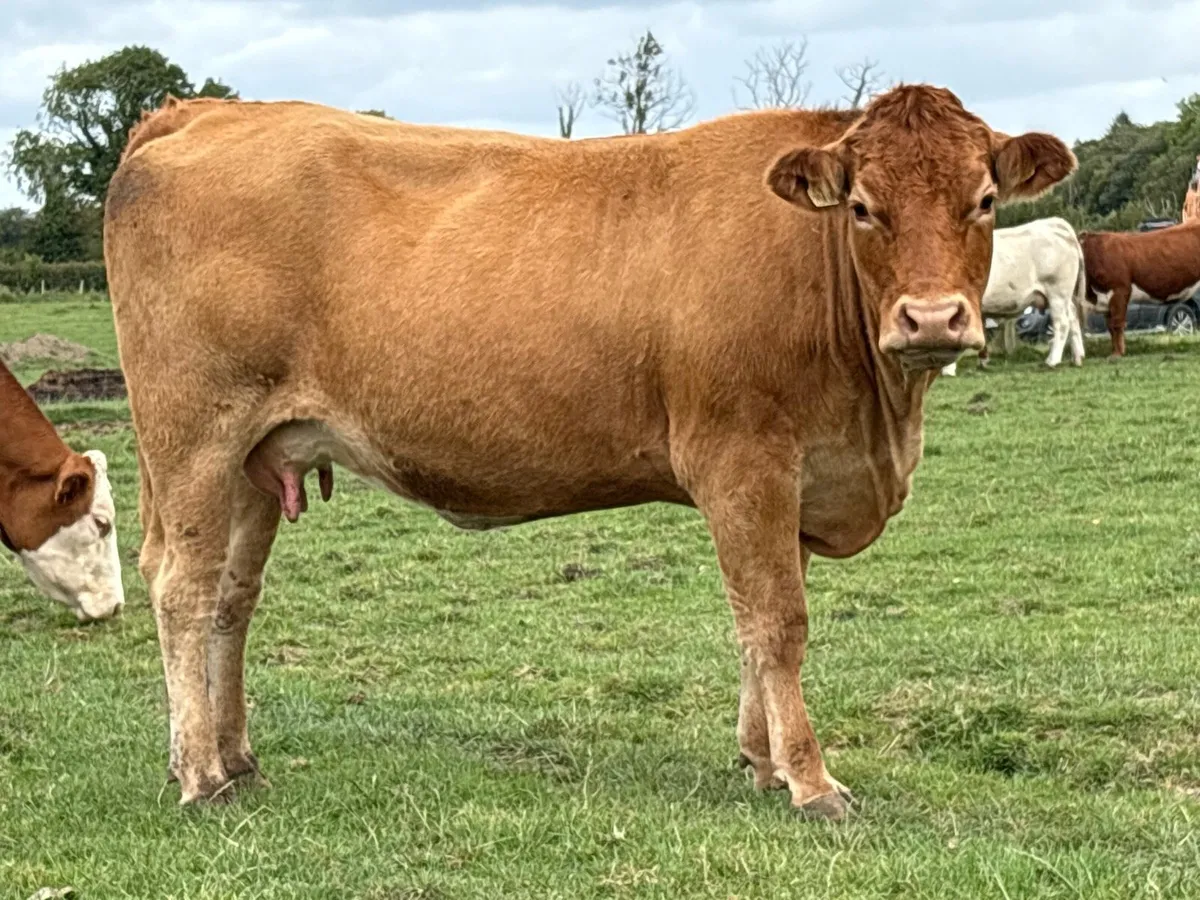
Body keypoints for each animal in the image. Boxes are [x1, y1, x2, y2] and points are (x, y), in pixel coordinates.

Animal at [941, 216, 1086, 375]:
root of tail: (1054, 222)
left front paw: (947, 370)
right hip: (1064, 297)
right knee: (1073, 317)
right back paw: (1077, 358)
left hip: (1057, 292)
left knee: (1062, 323)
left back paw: (1052, 361)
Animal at [1080, 220, 1200, 357]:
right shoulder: (1105, 300)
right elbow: (1110, 327)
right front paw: (1116, 351)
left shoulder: (1120, 289)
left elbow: (1116, 323)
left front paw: (1117, 354)